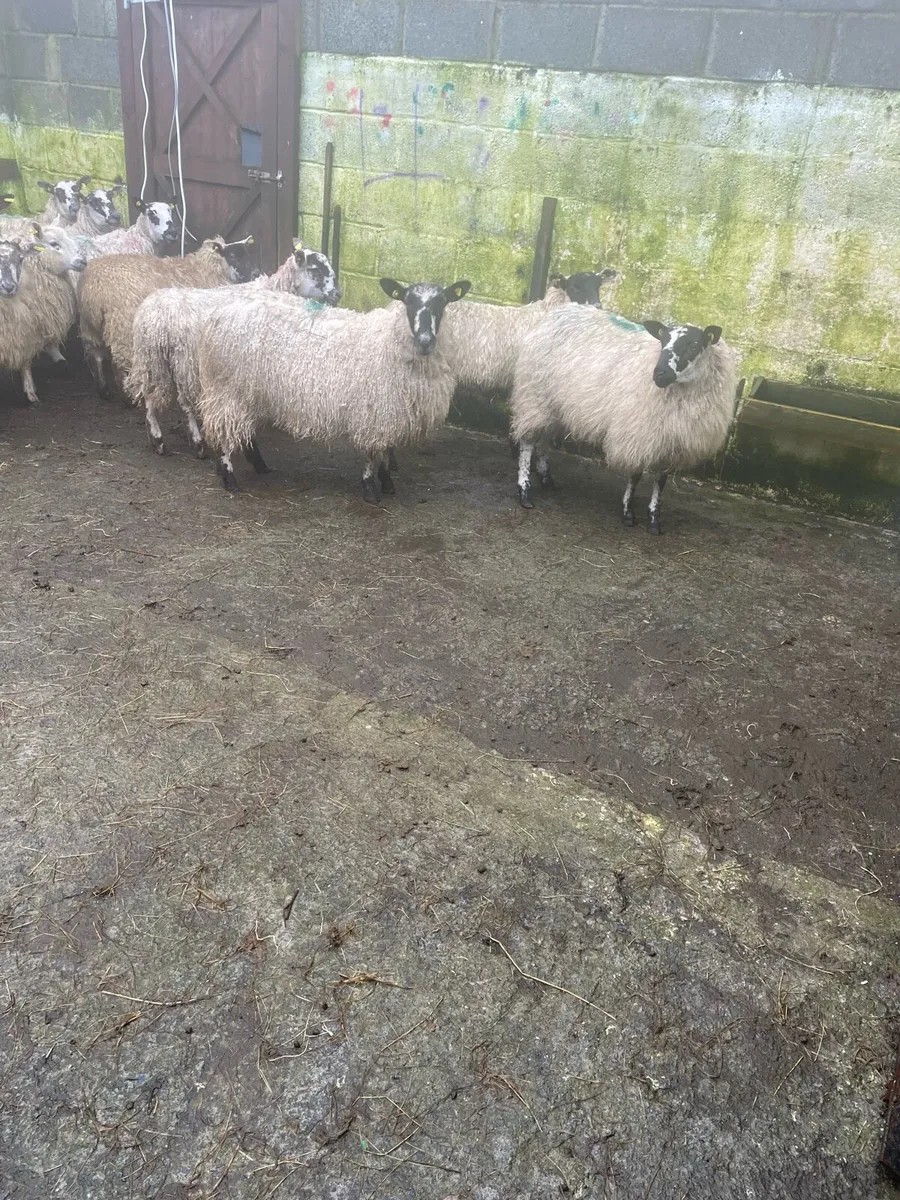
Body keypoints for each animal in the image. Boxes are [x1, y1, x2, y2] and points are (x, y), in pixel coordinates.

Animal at [0, 228, 88, 406]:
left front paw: (30, 392)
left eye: (20, 258)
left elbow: (27, 361)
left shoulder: (28, 327)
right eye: (54, 243)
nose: (83, 261)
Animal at [78, 235, 255, 402]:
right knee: (121, 364)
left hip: (90, 327)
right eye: (233, 255)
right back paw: (130, 397)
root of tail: (93, 288)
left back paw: (104, 391)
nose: (255, 273)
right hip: (121, 327)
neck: (207, 270)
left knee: (95, 356)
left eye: (247, 254)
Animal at [129, 242, 341, 456]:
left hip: (151, 359)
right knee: (184, 403)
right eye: (315, 269)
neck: (274, 289)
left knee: (148, 395)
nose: (337, 294)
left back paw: (157, 439)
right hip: (183, 362)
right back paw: (196, 442)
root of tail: (156, 316)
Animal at [189, 277, 470, 499]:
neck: (390, 340)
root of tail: (216, 314)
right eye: (408, 301)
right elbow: (373, 452)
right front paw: (370, 488)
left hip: (248, 391)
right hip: (226, 388)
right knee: (223, 432)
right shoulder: (373, 411)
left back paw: (259, 464)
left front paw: (387, 482)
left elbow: (385, 449)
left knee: (244, 431)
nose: (425, 340)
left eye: (442, 302)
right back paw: (229, 477)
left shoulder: (388, 411)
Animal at [509, 308, 738, 533]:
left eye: (694, 345)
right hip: (534, 394)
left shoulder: (670, 443)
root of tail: (556, 312)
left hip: (552, 404)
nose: (659, 374)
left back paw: (546, 479)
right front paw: (628, 512)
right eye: (663, 341)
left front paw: (654, 519)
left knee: (544, 438)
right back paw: (525, 492)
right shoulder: (637, 432)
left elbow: (661, 481)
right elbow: (635, 475)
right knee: (528, 442)